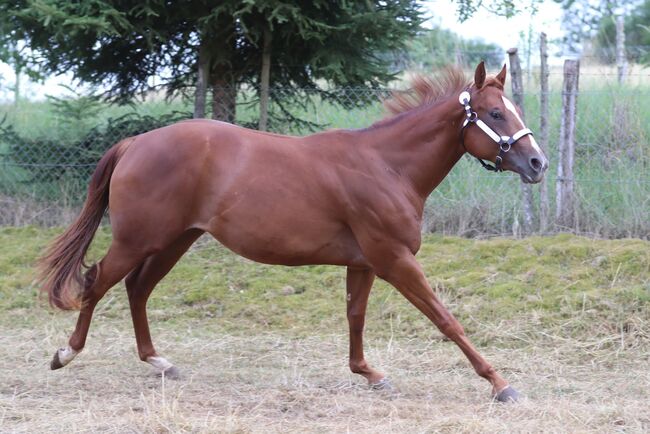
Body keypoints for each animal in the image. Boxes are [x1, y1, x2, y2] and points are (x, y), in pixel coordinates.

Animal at [40, 62, 548, 404]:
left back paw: (159, 362)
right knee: (97, 280)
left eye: (511, 110)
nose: (538, 163)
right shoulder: (395, 260)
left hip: (175, 240)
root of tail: (135, 144)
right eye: (494, 114)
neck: (387, 166)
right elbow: (446, 319)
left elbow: (355, 317)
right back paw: (65, 354)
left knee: (136, 288)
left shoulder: (364, 263)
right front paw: (501, 384)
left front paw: (370, 374)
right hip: (138, 240)